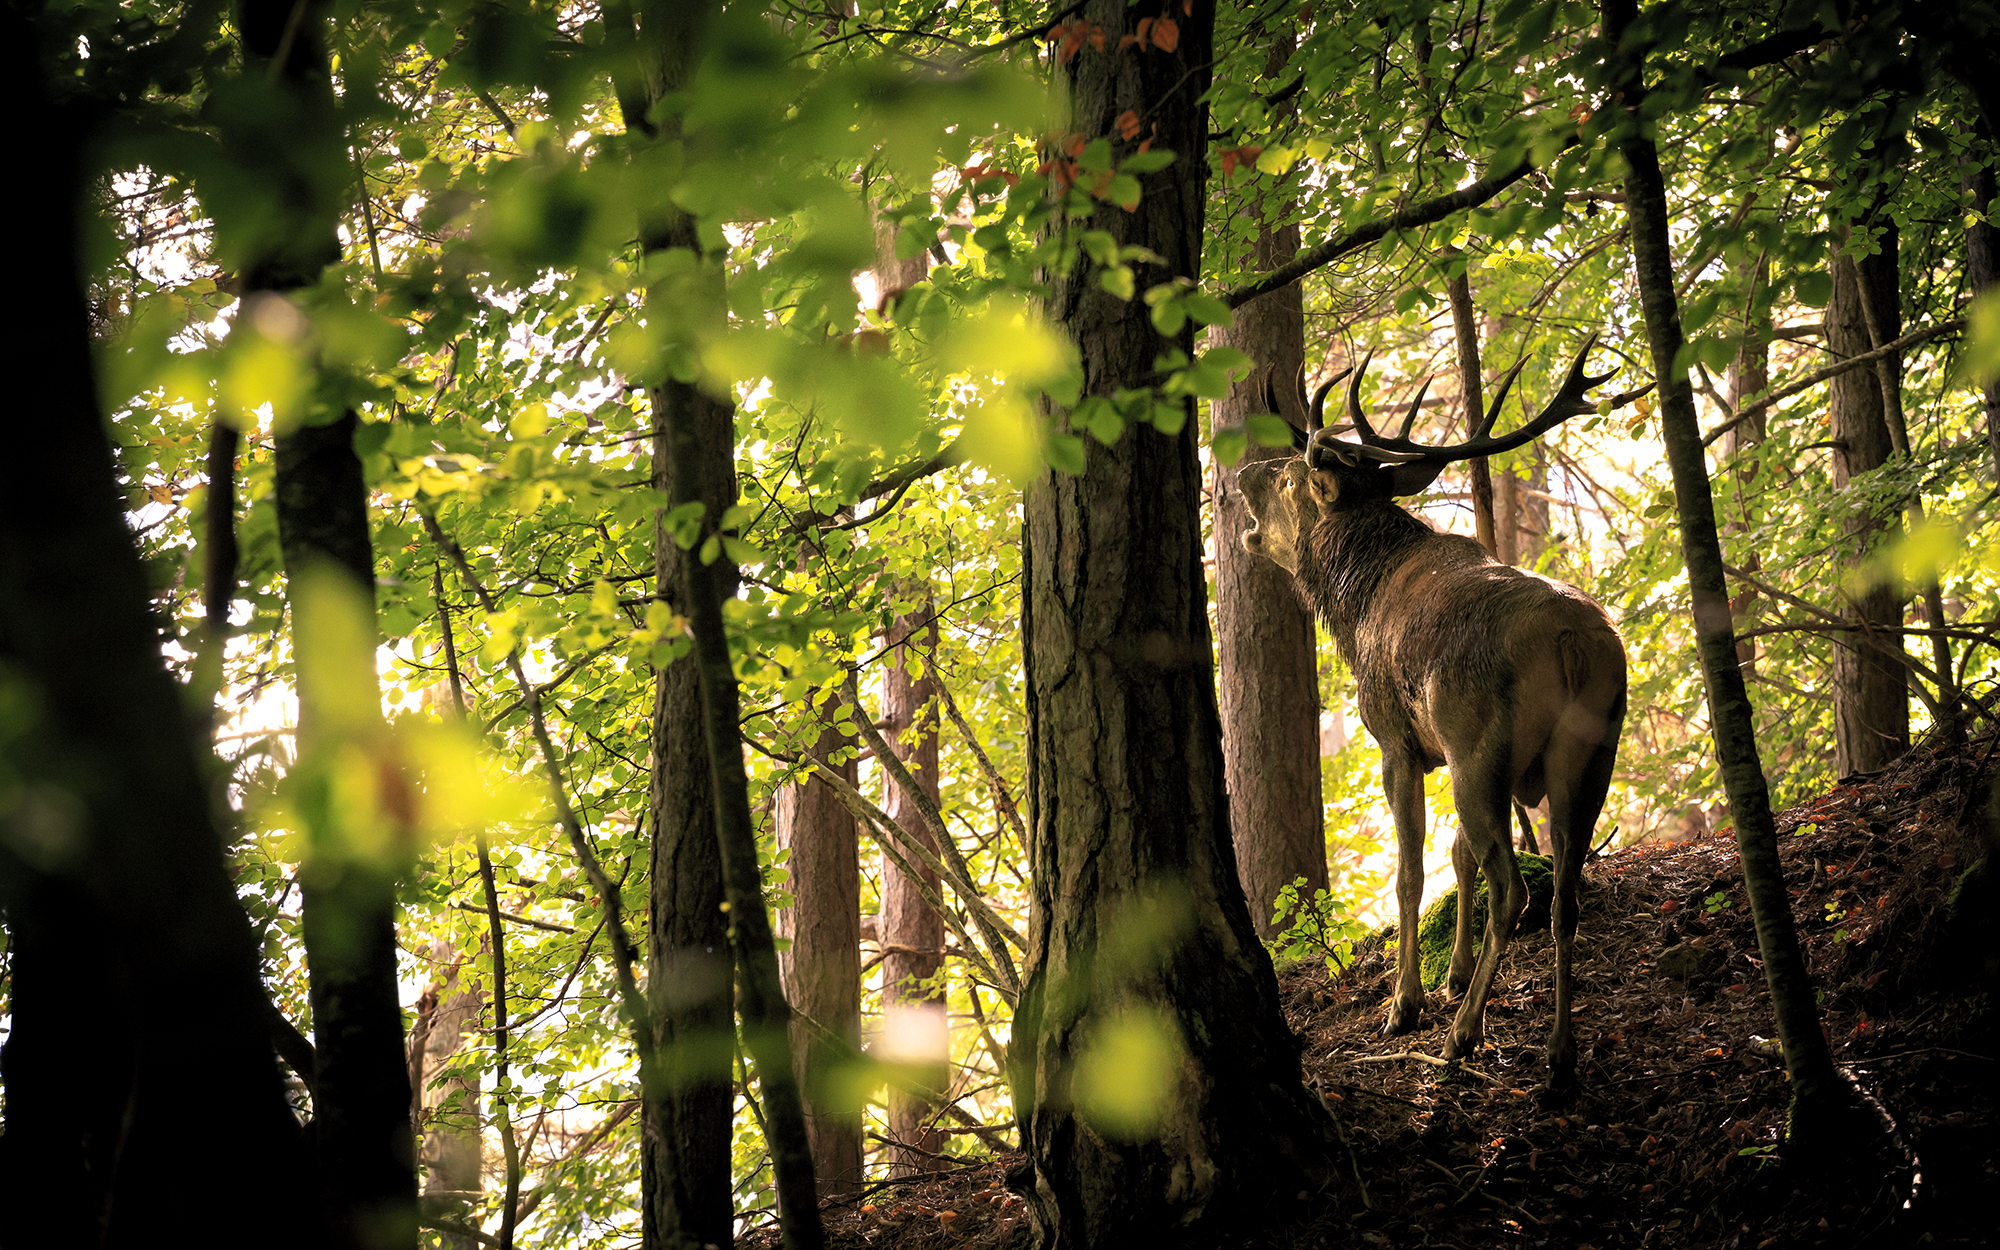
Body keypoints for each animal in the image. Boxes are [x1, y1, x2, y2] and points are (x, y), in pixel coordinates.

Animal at [1236, 335, 1631, 1092]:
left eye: (1293, 480)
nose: (1242, 474)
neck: (1353, 607)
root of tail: (1575, 644)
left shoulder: (1399, 740)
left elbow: (1412, 870)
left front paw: (1407, 1002)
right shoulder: (1449, 751)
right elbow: (1456, 855)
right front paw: (1451, 975)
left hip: (1483, 747)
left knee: (1515, 890)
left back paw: (1461, 1035)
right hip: (1593, 753)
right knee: (1564, 891)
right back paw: (1559, 1054)